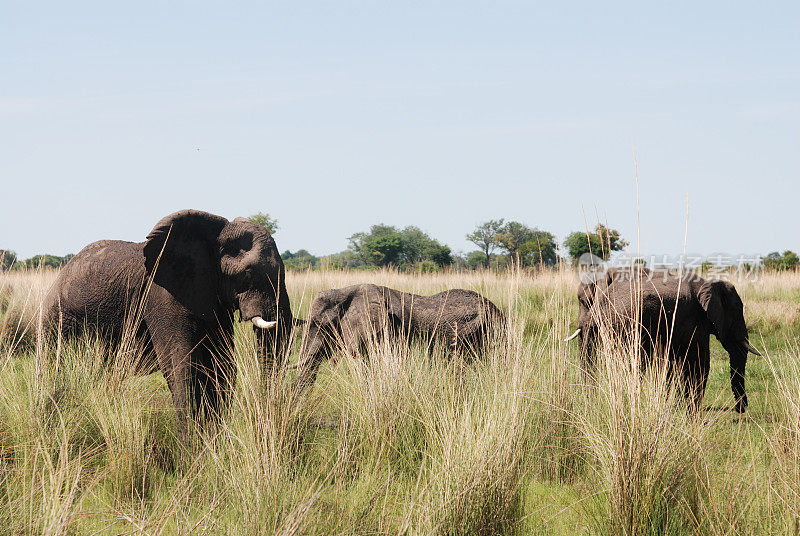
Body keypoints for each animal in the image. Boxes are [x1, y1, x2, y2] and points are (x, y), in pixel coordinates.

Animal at [39, 209, 296, 428]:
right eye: (247, 274)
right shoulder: (162, 296)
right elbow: (182, 364)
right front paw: (190, 448)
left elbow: (221, 364)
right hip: (58, 318)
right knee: (56, 365)